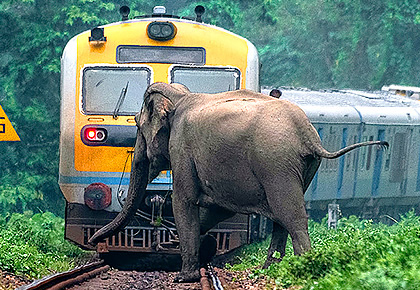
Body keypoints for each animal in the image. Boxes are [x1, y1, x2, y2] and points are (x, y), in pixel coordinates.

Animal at [90, 82, 388, 282]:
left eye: (138, 125)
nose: (94, 242)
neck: (180, 96)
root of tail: (308, 134)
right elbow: (217, 209)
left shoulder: (182, 148)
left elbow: (184, 201)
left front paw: (183, 277)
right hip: (305, 166)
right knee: (282, 216)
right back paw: (269, 268)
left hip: (275, 162)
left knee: (290, 214)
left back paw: (303, 268)